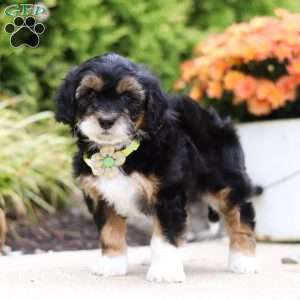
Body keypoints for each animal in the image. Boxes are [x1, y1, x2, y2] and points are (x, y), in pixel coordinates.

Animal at [55, 52, 262, 282]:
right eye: (90, 94)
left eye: (127, 97)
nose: (106, 120)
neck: (118, 152)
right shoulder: (101, 195)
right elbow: (109, 230)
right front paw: (112, 263)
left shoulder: (167, 193)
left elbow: (166, 234)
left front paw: (165, 271)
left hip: (223, 180)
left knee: (241, 212)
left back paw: (244, 260)